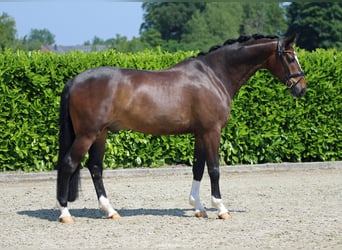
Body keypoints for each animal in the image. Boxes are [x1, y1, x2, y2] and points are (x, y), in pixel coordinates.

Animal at [56, 34, 308, 223]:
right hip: (87, 134)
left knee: (95, 167)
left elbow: (198, 168)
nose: (301, 89)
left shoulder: (200, 133)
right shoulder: (212, 131)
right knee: (69, 164)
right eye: (289, 57)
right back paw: (65, 213)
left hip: (101, 134)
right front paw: (221, 208)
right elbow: (214, 168)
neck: (213, 75)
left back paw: (110, 211)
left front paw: (198, 207)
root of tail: (75, 80)